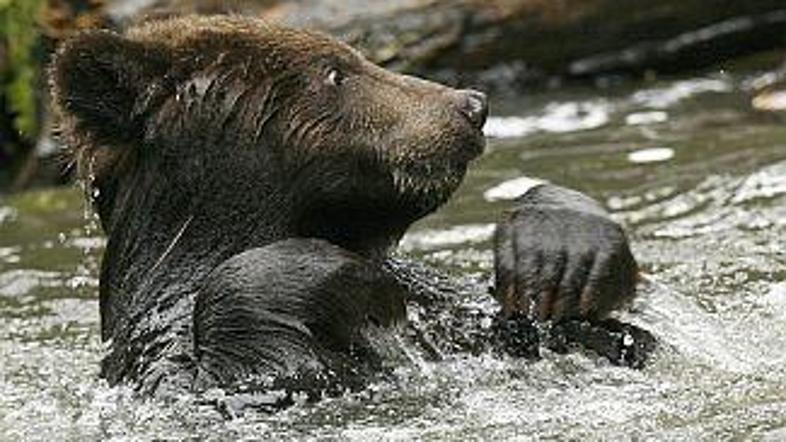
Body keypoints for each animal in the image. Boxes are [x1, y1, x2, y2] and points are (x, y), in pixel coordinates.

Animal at [52, 14, 648, 408]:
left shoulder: (469, 321)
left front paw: (558, 255)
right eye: (334, 72)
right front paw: (354, 282)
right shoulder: (167, 356)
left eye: (356, 57)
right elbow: (251, 374)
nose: (471, 105)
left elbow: (598, 334)